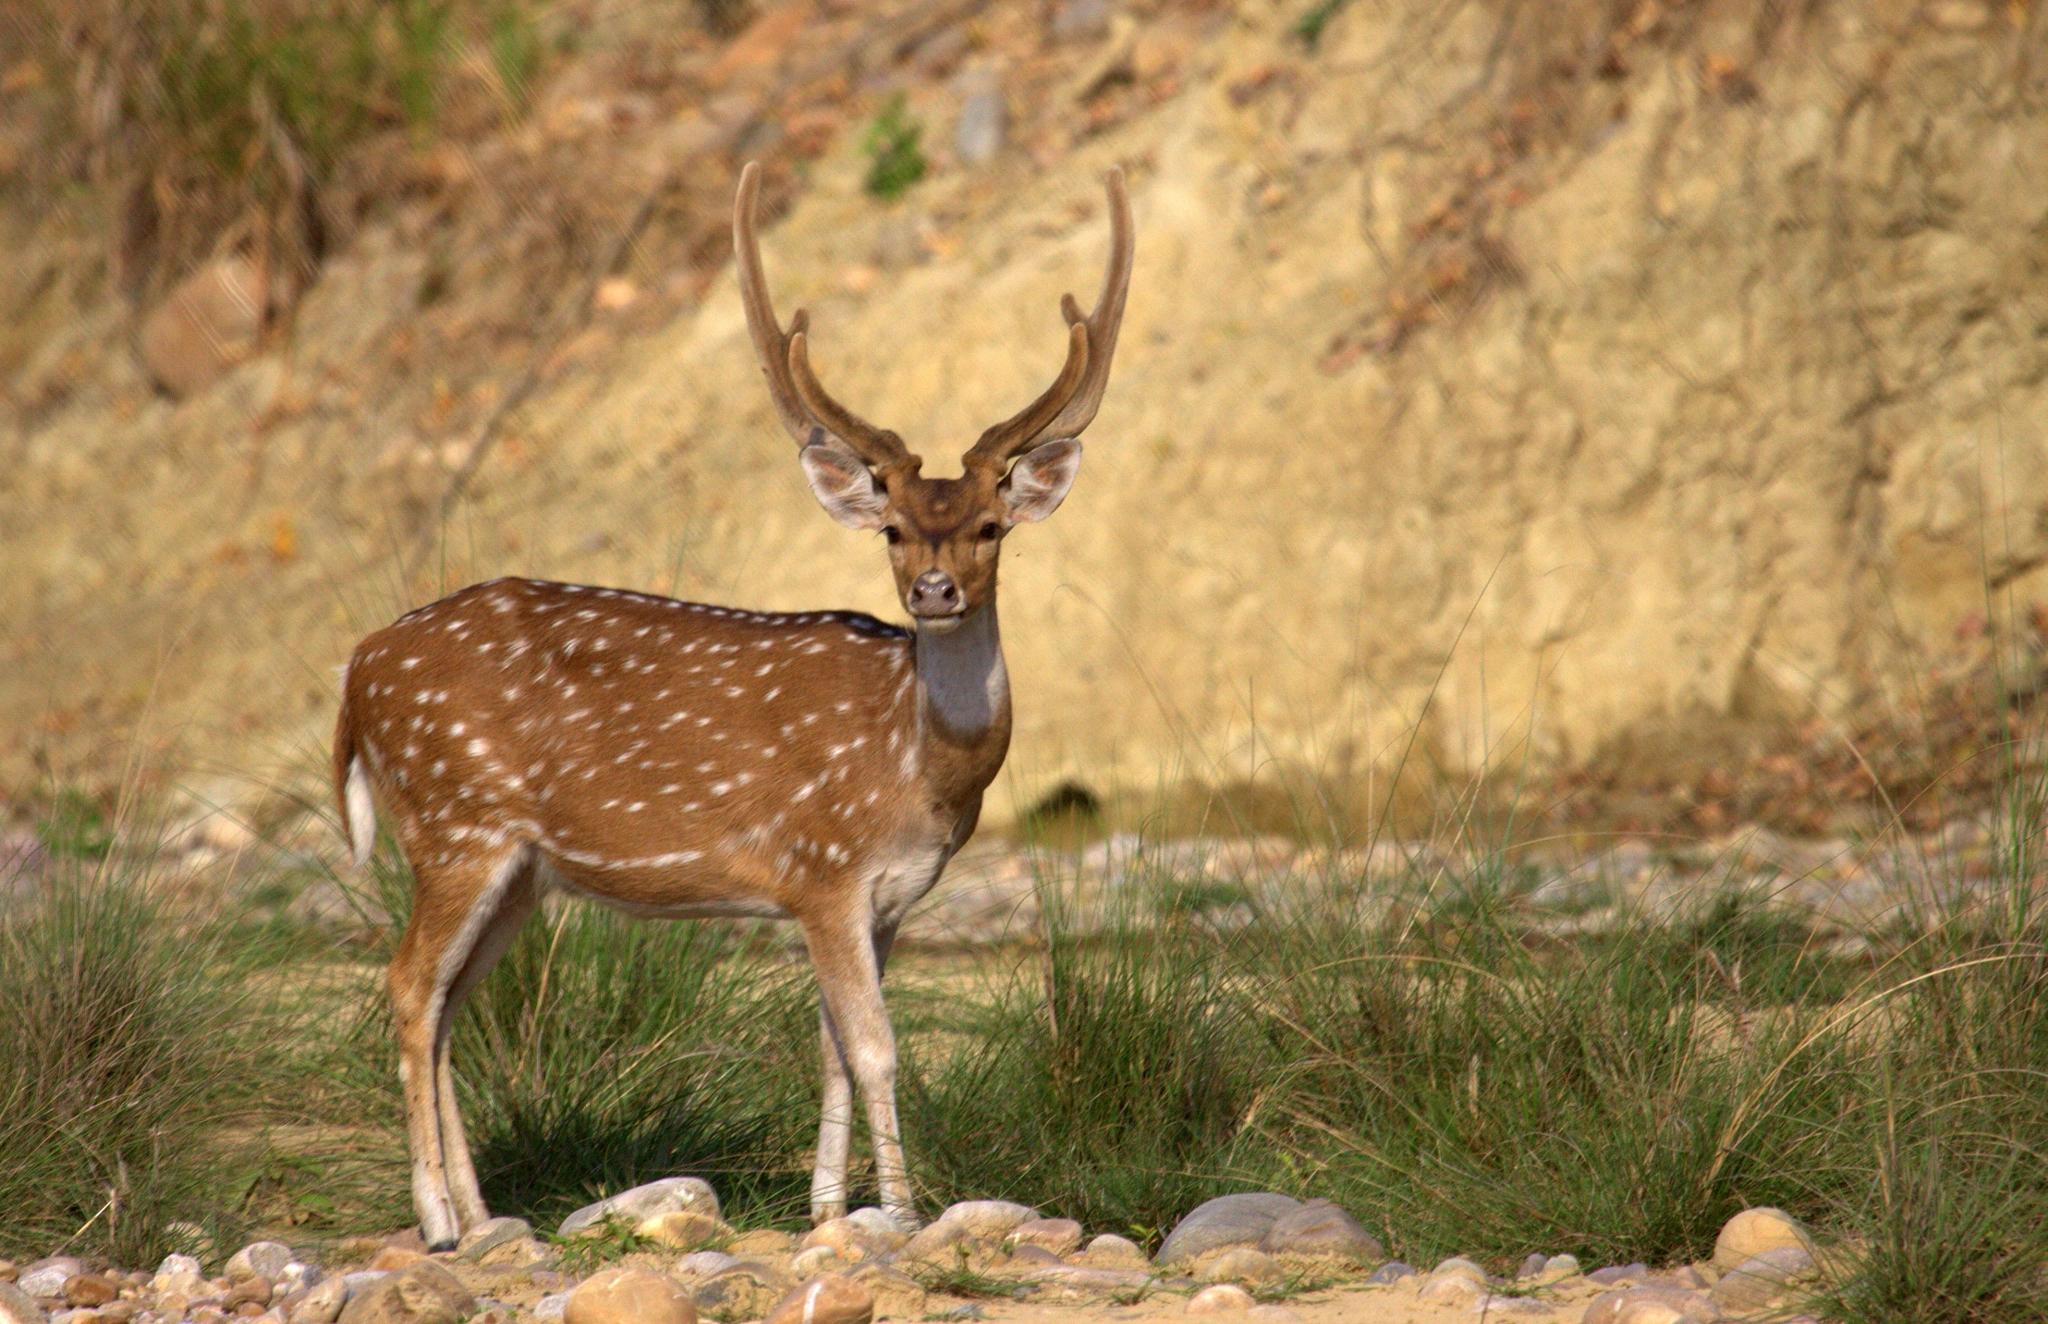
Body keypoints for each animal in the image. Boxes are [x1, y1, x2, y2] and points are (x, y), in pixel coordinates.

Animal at [335, 160, 1138, 1254]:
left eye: (987, 525)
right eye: (893, 527)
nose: (933, 590)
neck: (917, 766)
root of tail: (356, 669)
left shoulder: (884, 896)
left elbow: (835, 1044)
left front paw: (828, 1206)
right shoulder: (821, 866)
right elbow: (877, 1046)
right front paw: (903, 1210)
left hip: (518, 869)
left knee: (454, 1002)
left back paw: (490, 1213)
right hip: (455, 822)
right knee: (411, 986)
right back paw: (438, 1221)